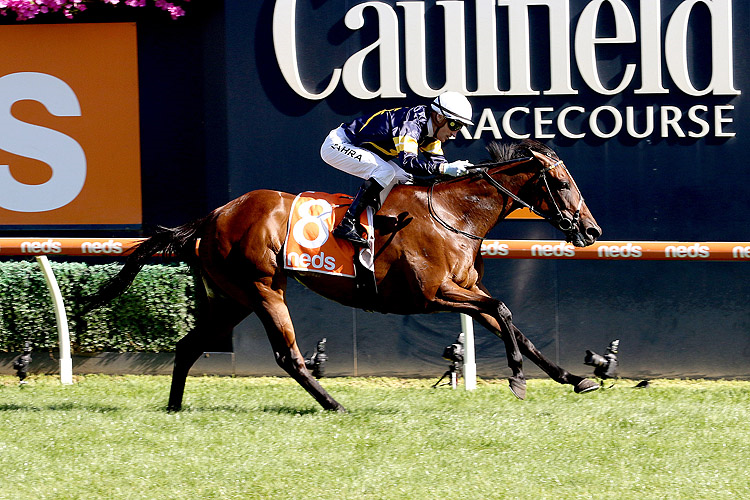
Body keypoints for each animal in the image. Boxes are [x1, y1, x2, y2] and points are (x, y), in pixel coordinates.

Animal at [86, 140, 604, 410]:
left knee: (189, 345)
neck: (454, 214)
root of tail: (215, 214)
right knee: (288, 355)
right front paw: (516, 377)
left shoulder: (464, 288)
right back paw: (334, 403)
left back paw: (174, 407)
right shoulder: (433, 294)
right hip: (262, 289)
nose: (592, 231)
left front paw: (573, 377)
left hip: (232, 298)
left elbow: (514, 325)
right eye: (561, 183)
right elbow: (503, 310)